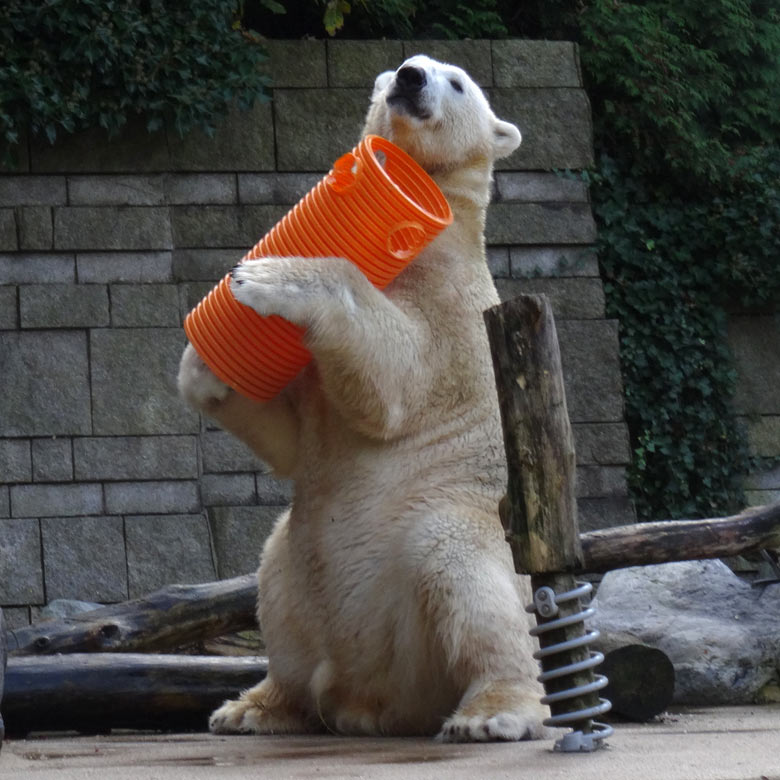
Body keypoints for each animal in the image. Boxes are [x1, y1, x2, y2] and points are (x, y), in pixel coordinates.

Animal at [179, 54, 544, 744]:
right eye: (404, 66)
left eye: (457, 82)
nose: (409, 77)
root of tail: (373, 696)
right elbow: (291, 442)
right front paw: (206, 363)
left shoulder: (455, 310)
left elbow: (396, 384)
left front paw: (267, 278)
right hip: (298, 566)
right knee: (277, 586)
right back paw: (252, 707)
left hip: (446, 525)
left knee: (463, 573)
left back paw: (491, 712)